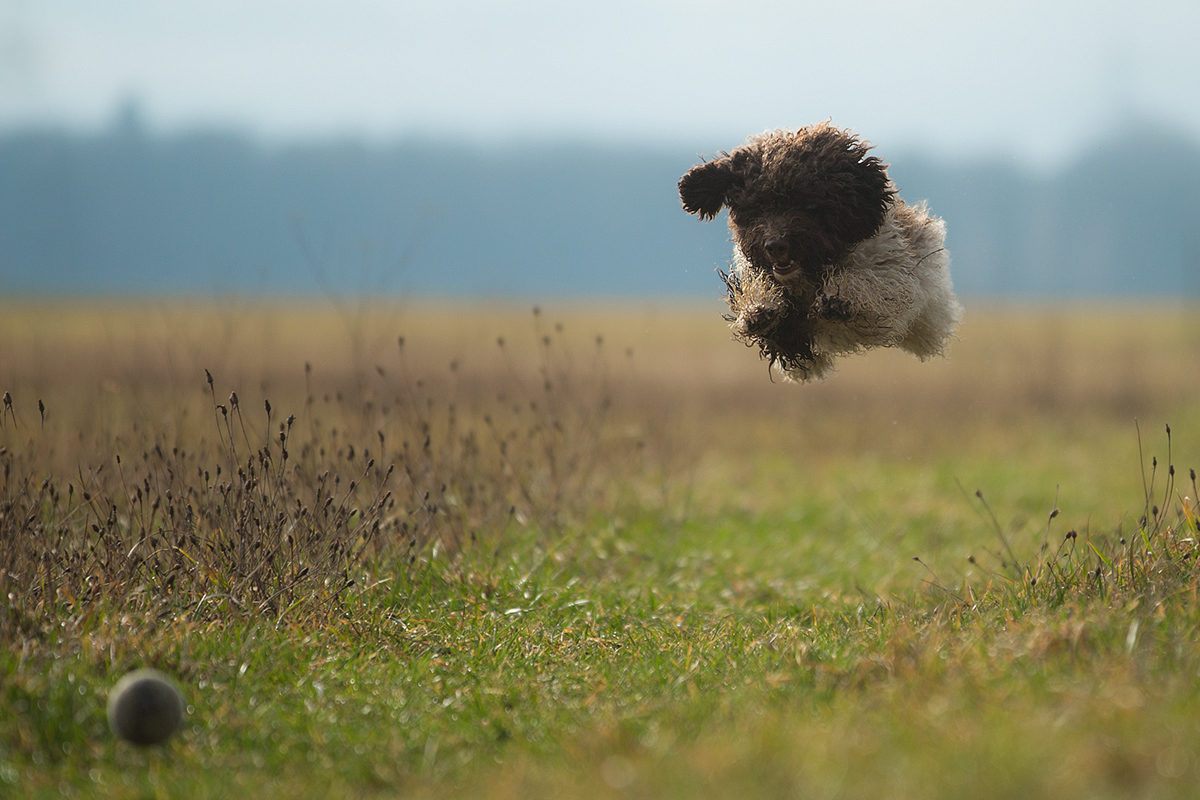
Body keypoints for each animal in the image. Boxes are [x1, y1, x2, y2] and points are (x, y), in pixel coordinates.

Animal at [681, 123, 960, 383]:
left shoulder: (897, 273)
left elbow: (873, 283)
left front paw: (841, 298)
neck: (812, 273)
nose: (775, 245)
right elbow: (770, 310)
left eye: (809, 204)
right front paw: (760, 309)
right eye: (758, 207)